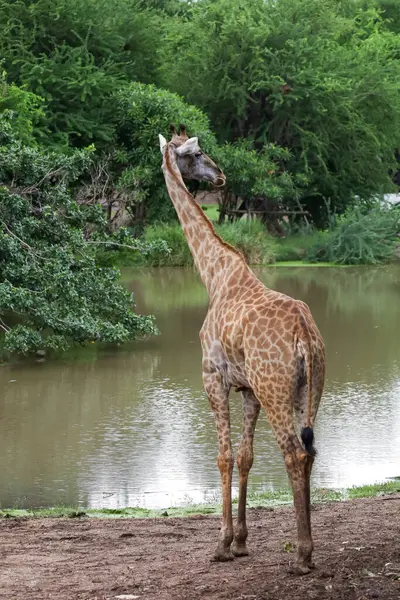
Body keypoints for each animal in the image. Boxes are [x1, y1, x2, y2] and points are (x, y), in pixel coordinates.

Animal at [158, 124, 324, 576]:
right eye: (197, 155)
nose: (219, 177)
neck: (213, 275)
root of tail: (305, 335)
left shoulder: (212, 378)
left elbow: (224, 457)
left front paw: (222, 543)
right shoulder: (248, 389)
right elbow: (246, 456)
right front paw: (243, 541)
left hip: (275, 389)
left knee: (294, 453)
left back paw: (302, 556)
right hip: (307, 389)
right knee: (310, 451)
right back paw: (305, 548)